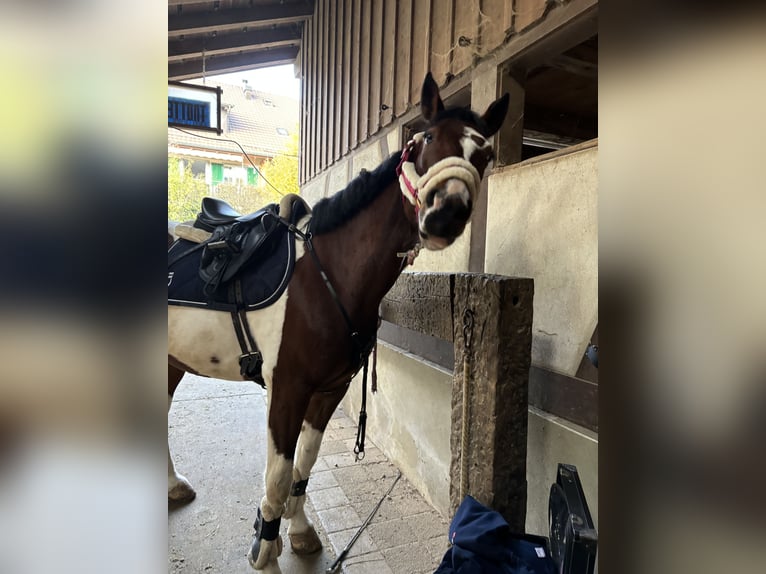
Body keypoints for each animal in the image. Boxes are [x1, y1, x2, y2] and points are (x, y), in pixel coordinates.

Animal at [166, 73, 510, 574]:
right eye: (426, 139)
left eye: (484, 154)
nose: (445, 214)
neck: (327, 276)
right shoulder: (287, 389)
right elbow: (277, 475)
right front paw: (265, 549)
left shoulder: (329, 390)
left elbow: (303, 466)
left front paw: (298, 531)